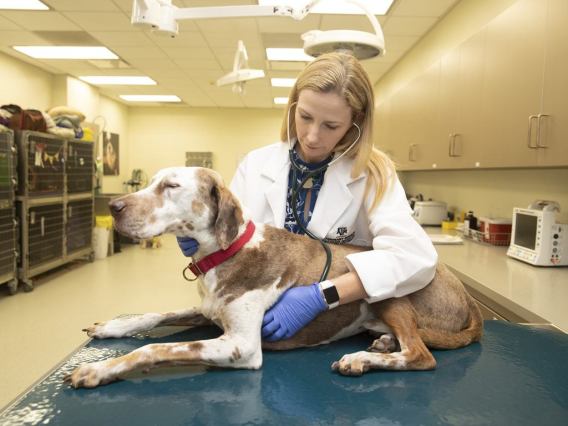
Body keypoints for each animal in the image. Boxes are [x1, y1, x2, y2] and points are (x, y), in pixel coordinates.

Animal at [66, 167, 484, 390]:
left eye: (171, 186)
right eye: (152, 181)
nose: (113, 207)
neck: (228, 251)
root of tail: (471, 302)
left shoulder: (241, 345)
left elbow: (153, 348)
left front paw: (99, 369)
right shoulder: (208, 310)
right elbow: (155, 315)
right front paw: (112, 326)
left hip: (391, 293)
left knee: (421, 354)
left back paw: (362, 359)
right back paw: (382, 343)